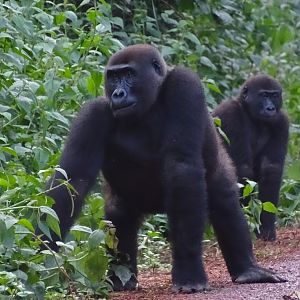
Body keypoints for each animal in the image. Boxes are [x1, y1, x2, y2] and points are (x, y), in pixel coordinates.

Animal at [212, 75, 290, 241]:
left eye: (274, 96)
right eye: (264, 95)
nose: (270, 108)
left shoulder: (281, 121)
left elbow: (271, 169)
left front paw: (267, 227)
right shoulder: (230, 113)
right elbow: (243, 169)